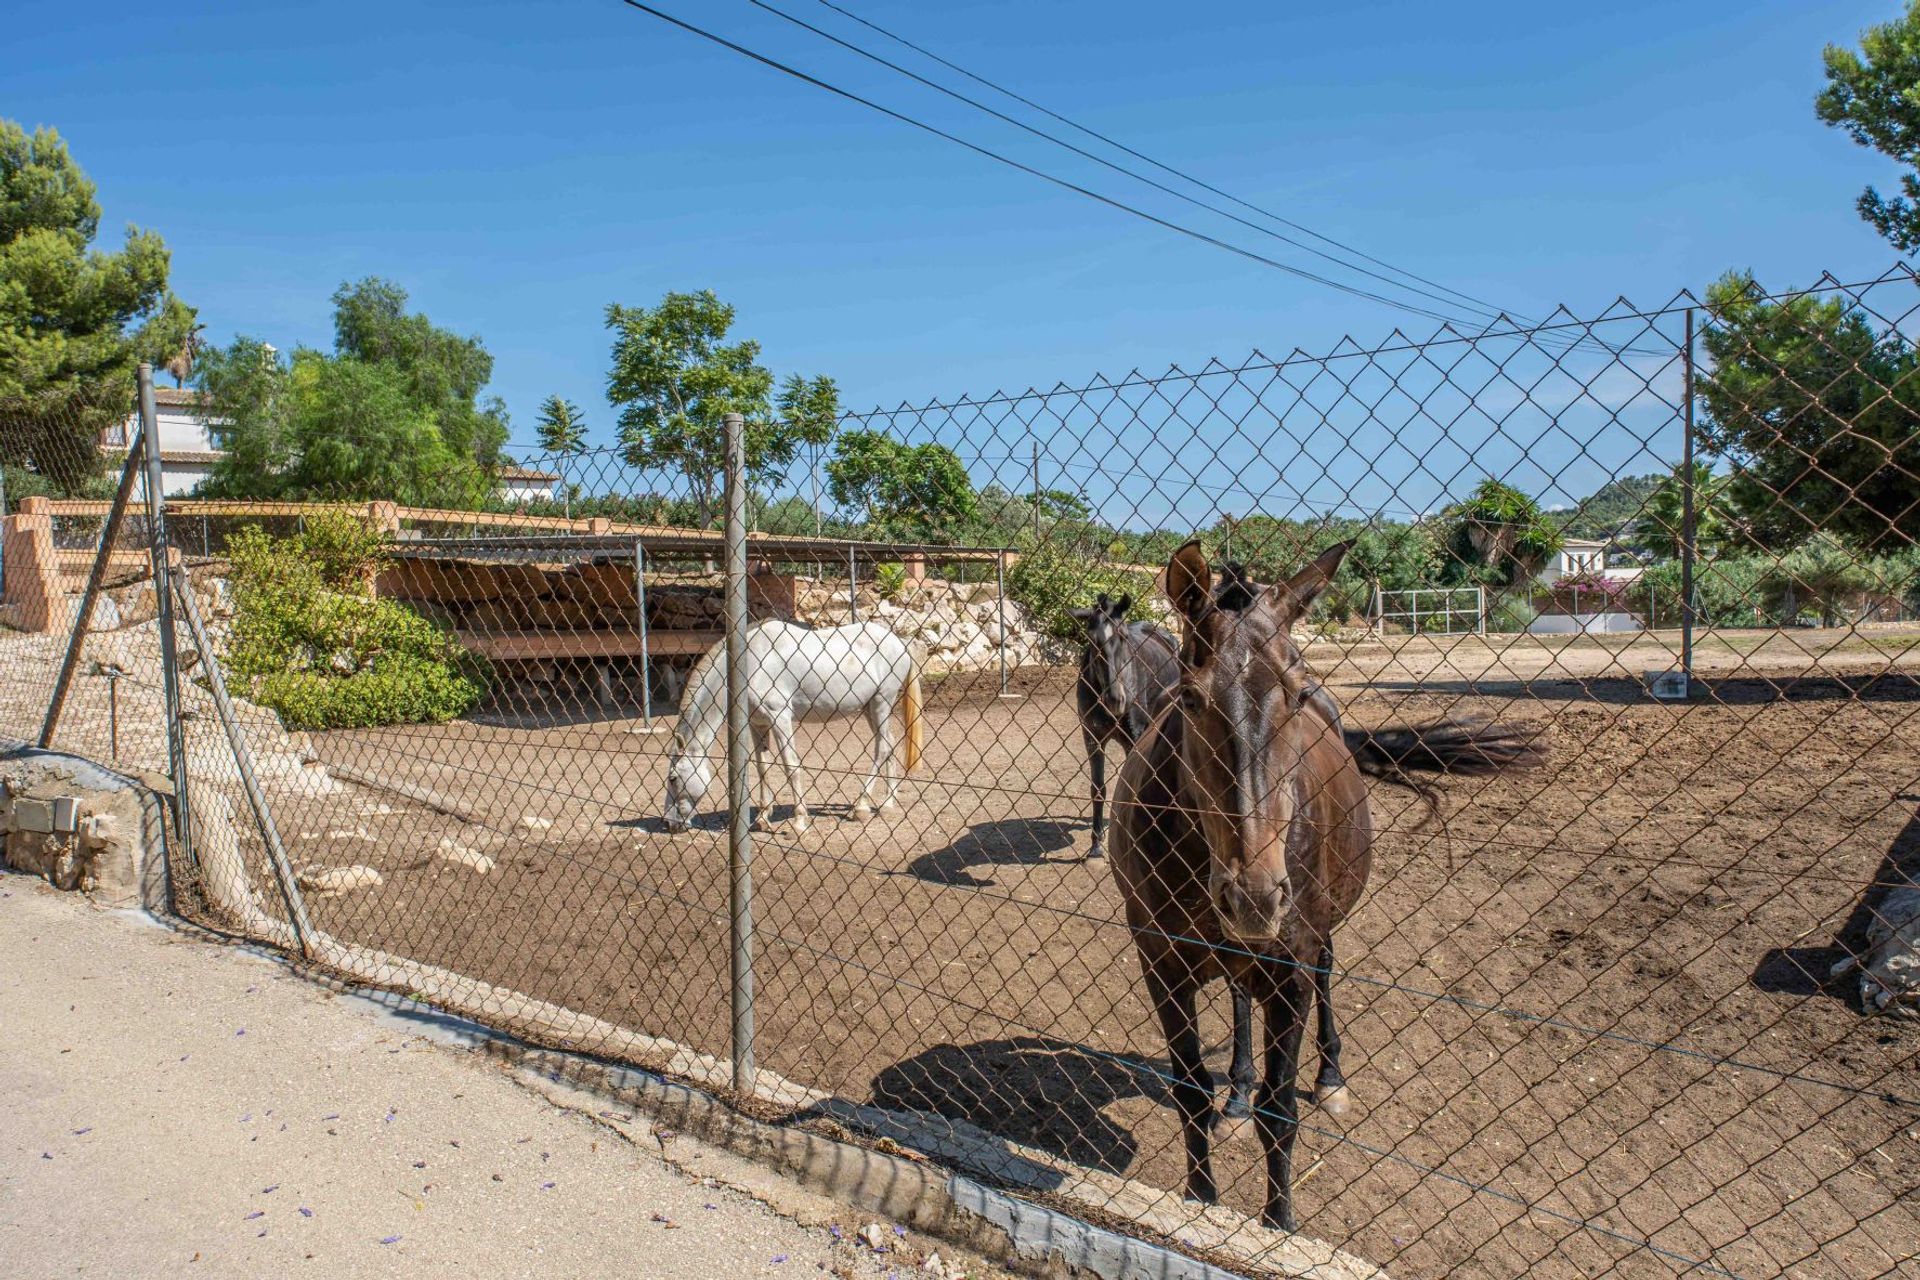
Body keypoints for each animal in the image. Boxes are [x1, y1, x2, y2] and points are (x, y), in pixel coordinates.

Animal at [664, 621, 917, 840]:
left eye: (673, 778)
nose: (669, 823)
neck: (751, 664)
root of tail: (900, 643)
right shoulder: (758, 724)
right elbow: (763, 767)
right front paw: (763, 819)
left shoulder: (780, 718)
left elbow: (791, 766)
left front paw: (799, 823)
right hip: (869, 708)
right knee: (888, 742)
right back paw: (888, 803)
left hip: (881, 702)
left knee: (882, 747)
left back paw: (862, 807)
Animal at [1113, 541, 1528, 1228]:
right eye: (1190, 698)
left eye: (1297, 692)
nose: (1255, 895)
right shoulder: (1161, 963)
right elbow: (1190, 1093)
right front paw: (1201, 1200)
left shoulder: (1291, 964)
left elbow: (1280, 1112)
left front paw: (1279, 1224)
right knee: (1238, 1000)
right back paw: (1236, 1094)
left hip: (1314, 933)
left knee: (1327, 974)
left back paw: (1330, 1077)